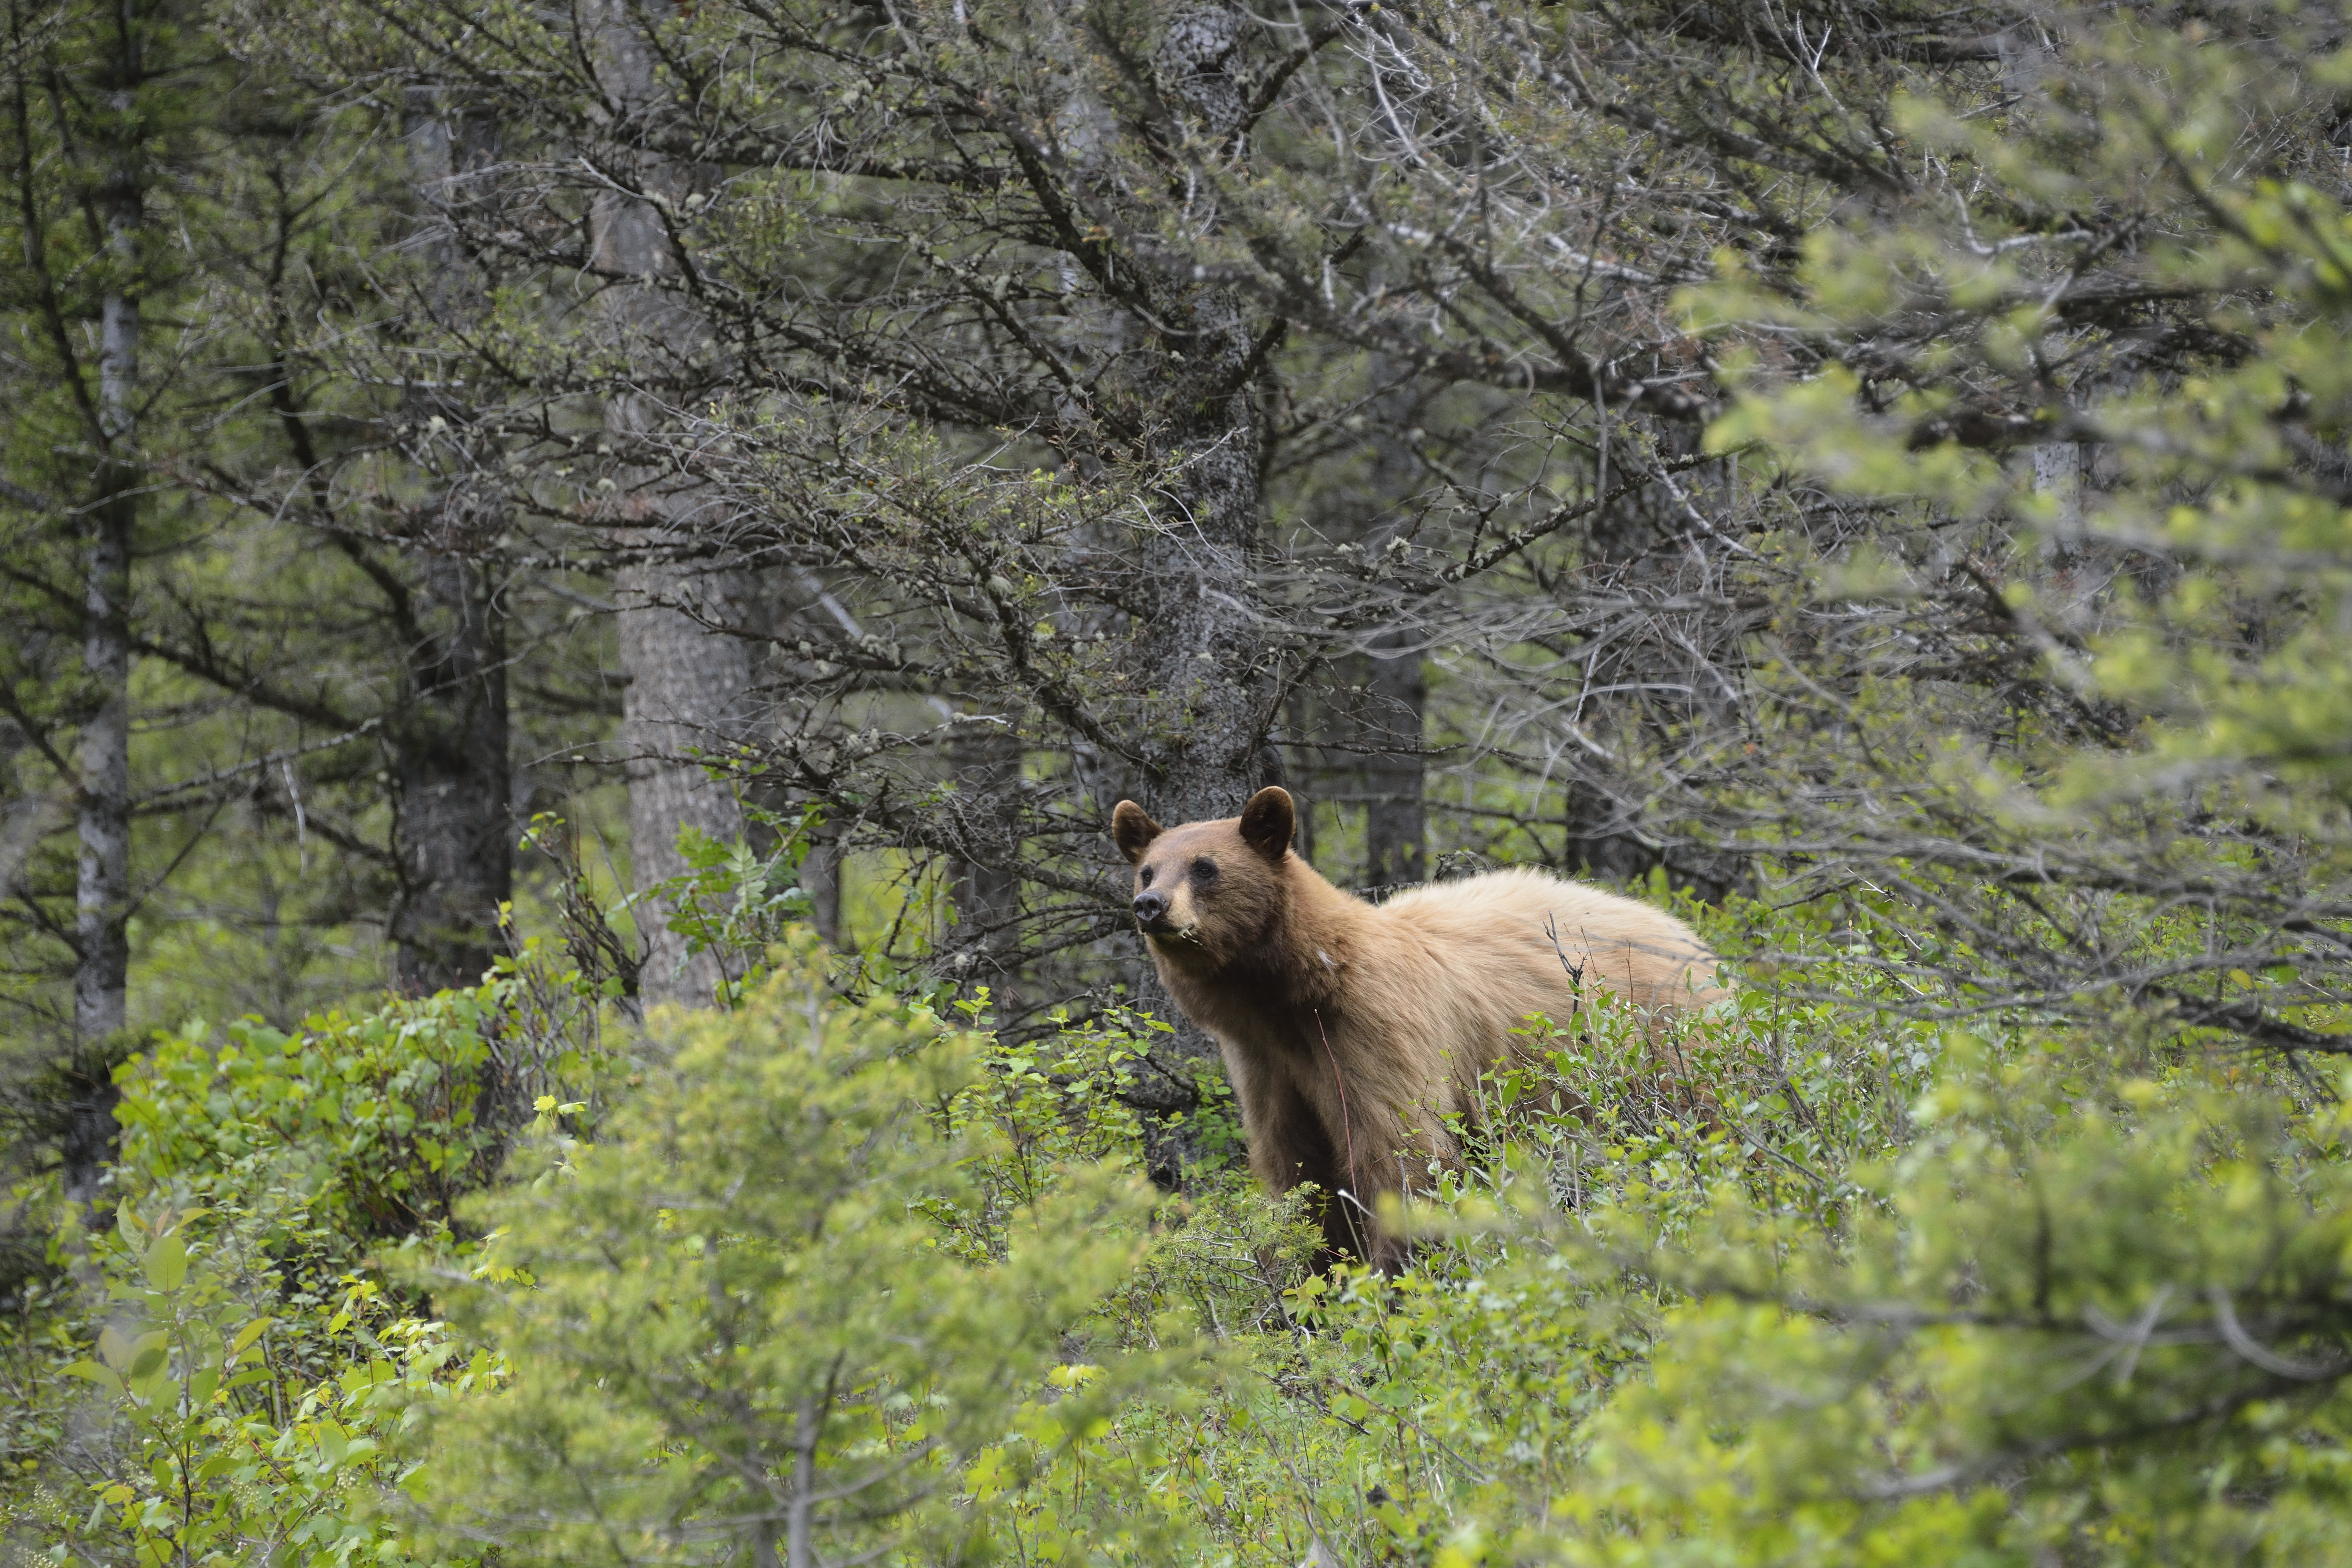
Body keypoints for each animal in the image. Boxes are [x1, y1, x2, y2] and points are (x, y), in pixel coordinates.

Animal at [1110, 790, 1721, 1269]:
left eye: (1205, 867)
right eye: (1148, 869)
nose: (1150, 905)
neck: (1294, 997)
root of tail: (1691, 937)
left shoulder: (1376, 1031)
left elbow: (1404, 1157)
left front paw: (1392, 1284)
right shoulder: (1264, 1063)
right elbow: (1297, 1172)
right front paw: (1308, 1286)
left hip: (1665, 1052)